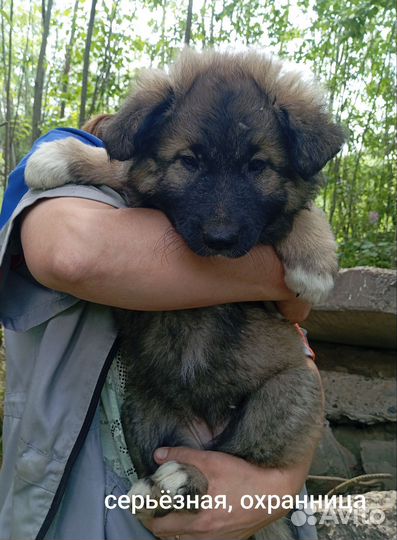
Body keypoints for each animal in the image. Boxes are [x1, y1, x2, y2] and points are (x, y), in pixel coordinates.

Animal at [26, 48, 344, 536]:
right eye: (189, 161)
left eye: (258, 166)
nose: (220, 239)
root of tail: (206, 426)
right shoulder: (142, 191)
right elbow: (119, 165)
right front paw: (61, 155)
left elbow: (297, 211)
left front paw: (314, 258)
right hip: (145, 410)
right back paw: (165, 486)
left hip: (293, 392)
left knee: (236, 457)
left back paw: (177, 481)